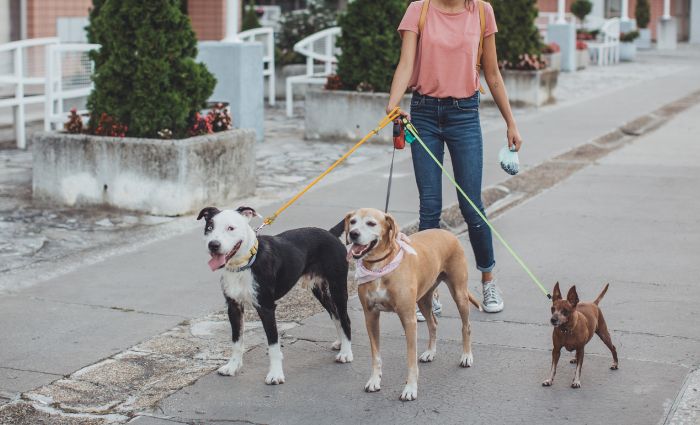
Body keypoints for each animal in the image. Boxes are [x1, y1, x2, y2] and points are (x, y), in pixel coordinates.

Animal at [197, 206, 352, 384]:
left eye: (231, 228)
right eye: (209, 227)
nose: (213, 245)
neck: (244, 264)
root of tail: (330, 233)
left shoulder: (266, 307)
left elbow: (273, 345)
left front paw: (275, 374)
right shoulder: (233, 307)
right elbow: (236, 340)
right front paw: (233, 366)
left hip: (338, 287)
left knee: (345, 318)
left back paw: (346, 352)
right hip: (319, 290)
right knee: (336, 315)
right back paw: (341, 343)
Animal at [340, 209, 482, 400]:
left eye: (371, 223)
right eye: (353, 222)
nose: (353, 234)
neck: (380, 266)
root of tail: (447, 232)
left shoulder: (408, 320)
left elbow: (410, 359)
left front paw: (410, 389)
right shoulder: (371, 317)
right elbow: (376, 355)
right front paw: (374, 380)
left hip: (459, 293)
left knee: (466, 326)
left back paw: (466, 356)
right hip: (423, 300)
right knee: (433, 324)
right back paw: (430, 352)